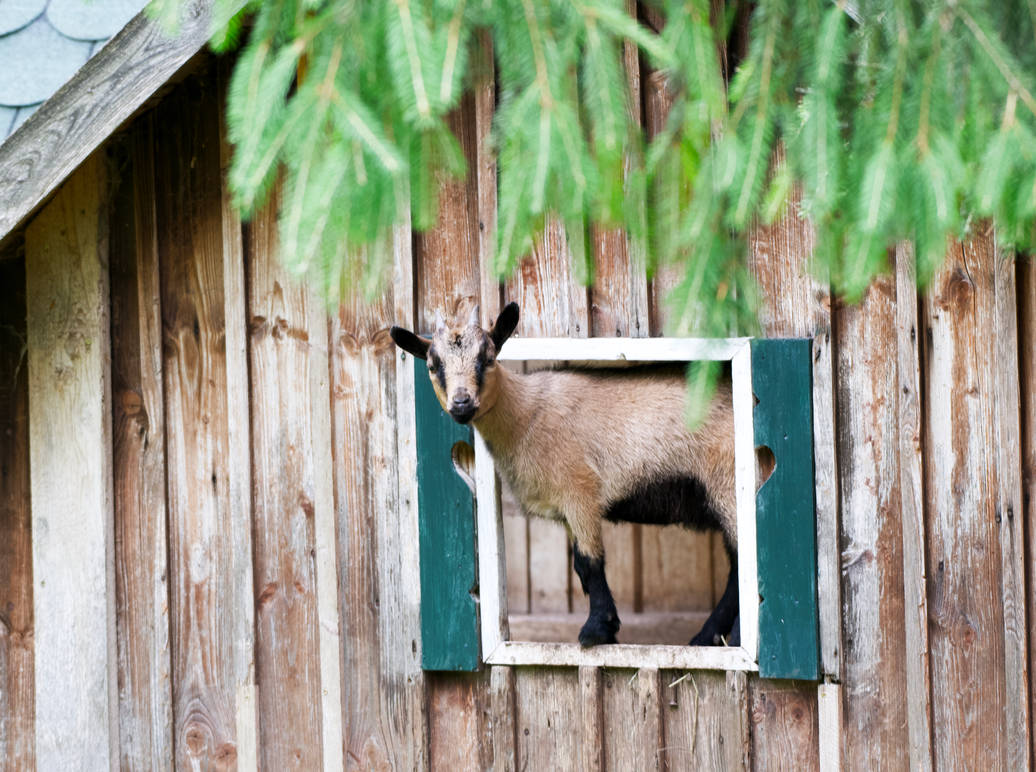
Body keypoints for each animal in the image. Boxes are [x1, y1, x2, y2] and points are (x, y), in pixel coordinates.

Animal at [391, 302, 740, 647]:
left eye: (488, 358)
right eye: (433, 366)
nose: (462, 403)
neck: (525, 415)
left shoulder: (580, 491)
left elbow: (590, 560)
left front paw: (597, 631)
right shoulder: (566, 507)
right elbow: (579, 566)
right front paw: (605, 627)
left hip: (728, 484)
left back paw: (726, 637)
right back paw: (709, 637)